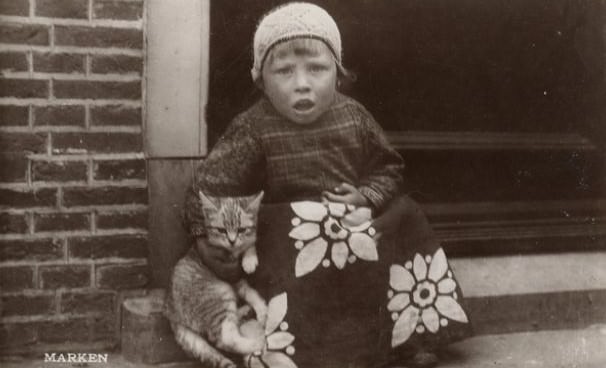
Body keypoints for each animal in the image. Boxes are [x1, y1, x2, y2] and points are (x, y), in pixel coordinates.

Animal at [167, 191, 270, 368]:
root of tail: (171, 313)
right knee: (225, 339)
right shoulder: (228, 270)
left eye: (241, 229)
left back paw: (244, 311)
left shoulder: (237, 277)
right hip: (219, 295)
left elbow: (249, 290)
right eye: (221, 230)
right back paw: (257, 342)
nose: (232, 240)